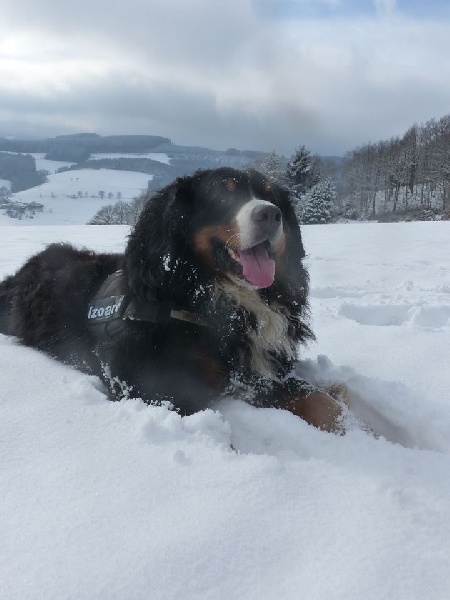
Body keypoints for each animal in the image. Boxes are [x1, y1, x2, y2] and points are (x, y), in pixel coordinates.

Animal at [0, 168, 342, 432]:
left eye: (272, 197)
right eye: (223, 196)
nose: (271, 213)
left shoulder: (257, 371)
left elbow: (325, 404)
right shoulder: (147, 381)